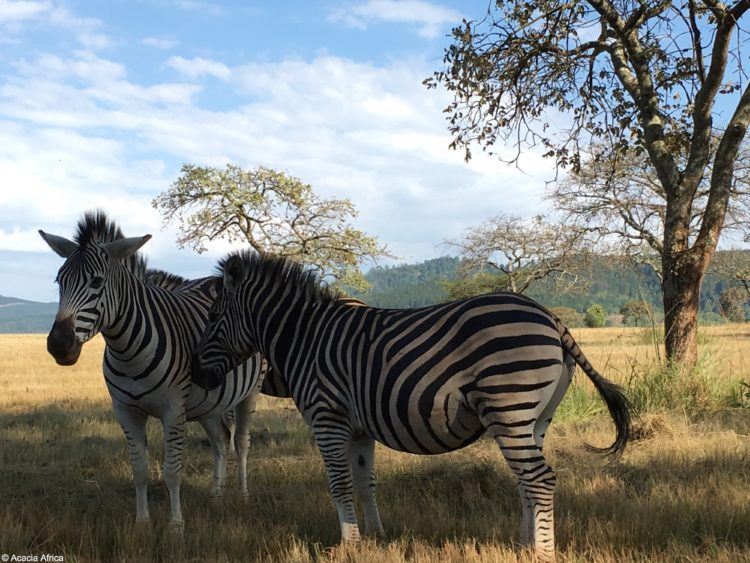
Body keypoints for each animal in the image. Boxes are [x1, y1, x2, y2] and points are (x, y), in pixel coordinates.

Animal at [39, 210, 270, 528]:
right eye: (59, 280)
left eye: (97, 282)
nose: (59, 345)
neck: (127, 352)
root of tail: (216, 279)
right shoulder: (126, 410)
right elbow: (139, 470)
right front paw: (142, 523)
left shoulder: (173, 410)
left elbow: (173, 472)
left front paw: (176, 526)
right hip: (208, 401)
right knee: (221, 440)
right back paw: (216, 497)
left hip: (250, 392)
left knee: (241, 442)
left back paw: (243, 497)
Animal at [191, 253, 632, 560]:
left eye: (212, 318)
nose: (196, 376)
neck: (304, 337)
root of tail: (551, 317)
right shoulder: (358, 427)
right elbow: (364, 481)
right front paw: (374, 538)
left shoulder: (326, 416)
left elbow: (339, 482)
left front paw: (346, 546)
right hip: (536, 418)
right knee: (527, 480)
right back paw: (523, 546)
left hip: (509, 407)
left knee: (540, 479)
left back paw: (541, 554)